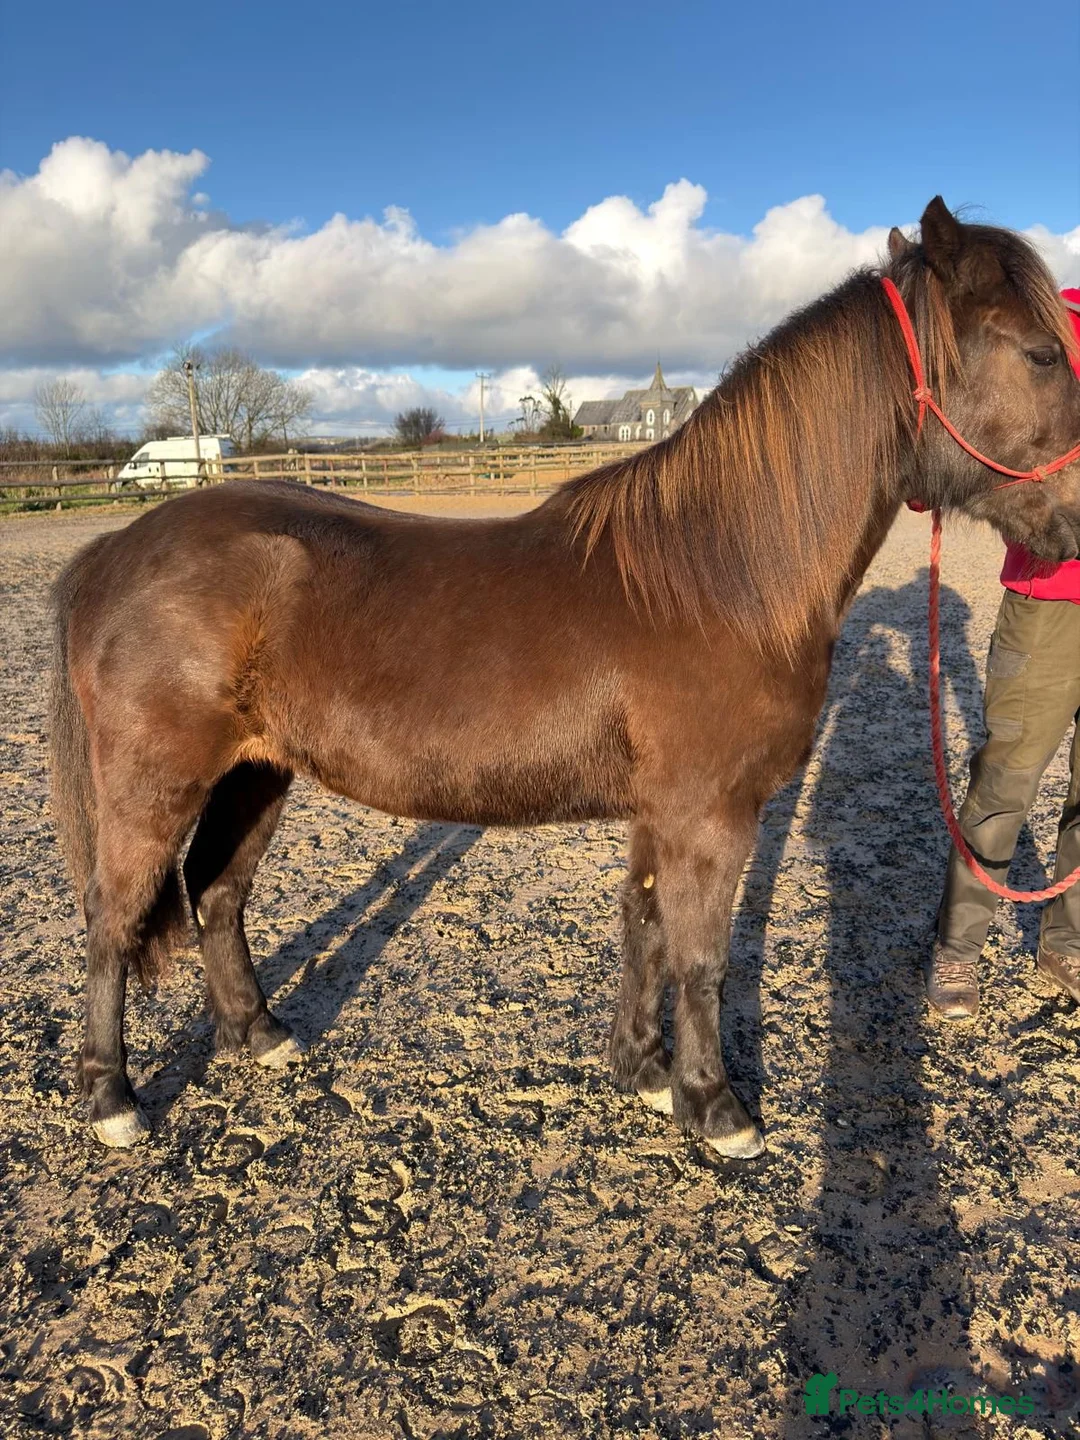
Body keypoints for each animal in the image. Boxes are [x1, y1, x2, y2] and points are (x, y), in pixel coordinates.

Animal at [49, 197, 1080, 1156]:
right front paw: (716, 1108)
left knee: (216, 892)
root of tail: (114, 551)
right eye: (1040, 353)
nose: (1078, 525)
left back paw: (258, 1035)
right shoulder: (711, 815)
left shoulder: (663, 814)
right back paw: (111, 1101)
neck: (720, 579)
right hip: (155, 780)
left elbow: (647, 930)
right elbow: (702, 957)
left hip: (256, 772)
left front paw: (647, 1075)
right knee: (112, 914)